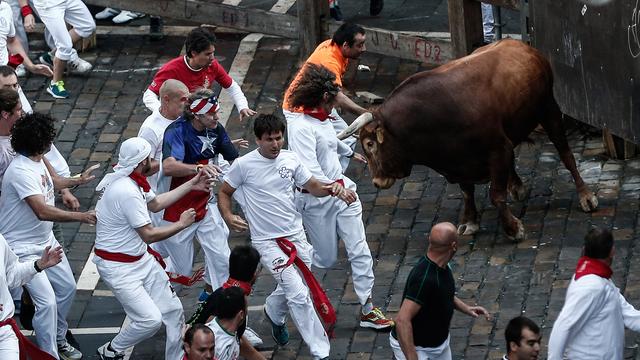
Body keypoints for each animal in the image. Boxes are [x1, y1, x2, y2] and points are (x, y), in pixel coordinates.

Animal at [340, 38, 600, 239]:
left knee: (565, 154)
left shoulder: (497, 149)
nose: (377, 182)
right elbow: (467, 191)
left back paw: (585, 195)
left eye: (370, 144)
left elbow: (496, 195)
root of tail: (523, 46)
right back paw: (516, 186)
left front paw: (513, 228)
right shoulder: (458, 160)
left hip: (549, 109)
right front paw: (470, 221)